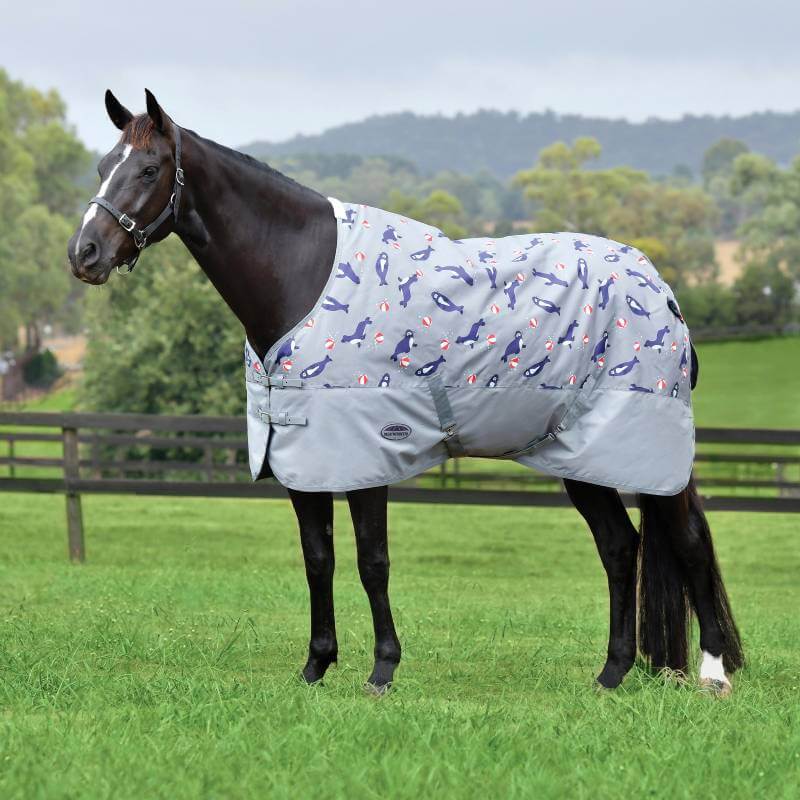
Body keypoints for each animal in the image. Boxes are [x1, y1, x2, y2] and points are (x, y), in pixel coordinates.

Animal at [67, 90, 743, 696]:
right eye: (102, 167)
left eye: (148, 169)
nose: (85, 253)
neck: (302, 274)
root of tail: (663, 293)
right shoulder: (302, 456)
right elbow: (318, 558)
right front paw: (315, 667)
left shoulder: (366, 451)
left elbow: (372, 562)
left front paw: (382, 671)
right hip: (582, 457)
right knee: (620, 548)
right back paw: (611, 674)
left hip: (646, 453)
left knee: (689, 542)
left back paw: (713, 673)